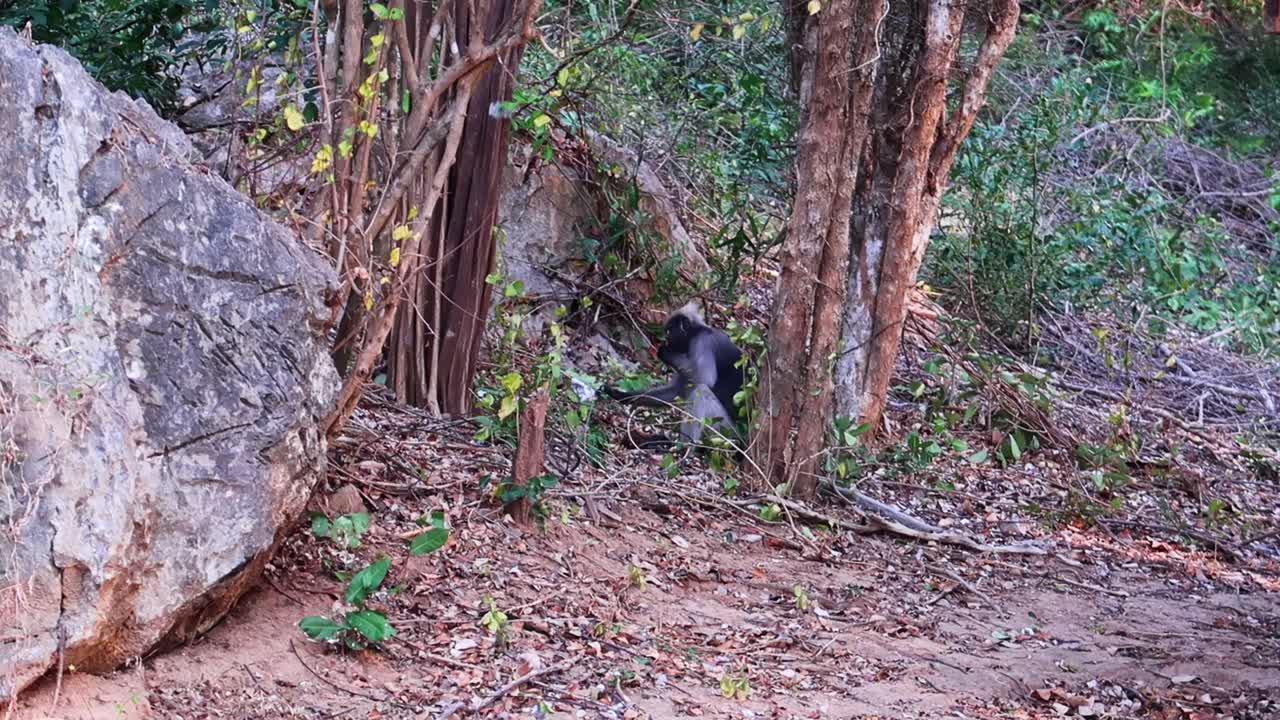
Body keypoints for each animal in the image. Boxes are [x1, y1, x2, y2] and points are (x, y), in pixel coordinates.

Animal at [602, 302, 745, 449]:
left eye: (670, 330)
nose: (666, 339)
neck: (698, 331)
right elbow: (676, 390)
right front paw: (620, 395)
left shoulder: (702, 342)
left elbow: (705, 380)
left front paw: (664, 352)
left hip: (725, 432)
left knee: (701, 390)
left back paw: (682, 448)